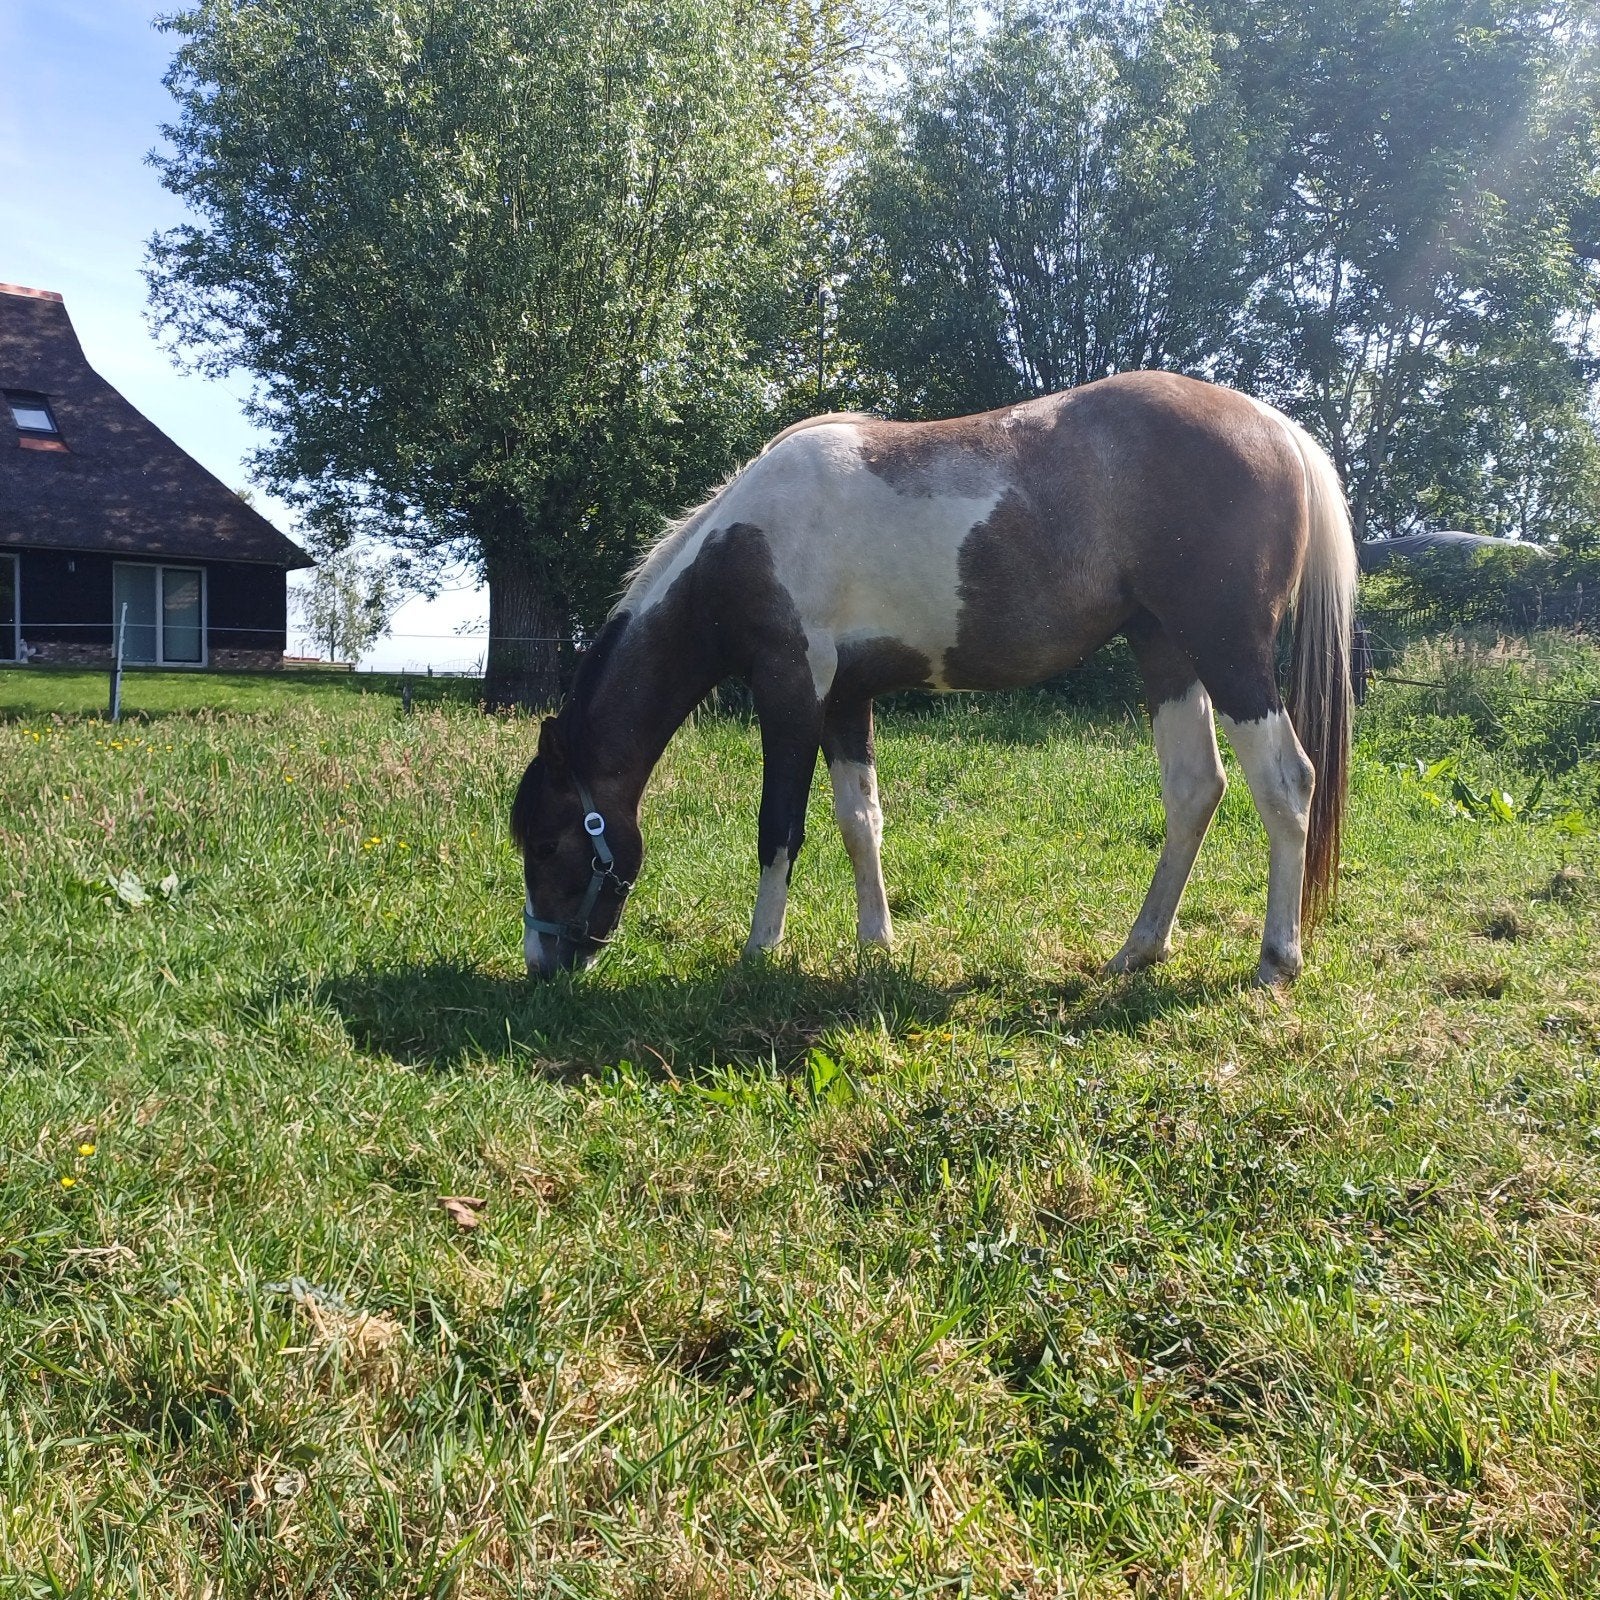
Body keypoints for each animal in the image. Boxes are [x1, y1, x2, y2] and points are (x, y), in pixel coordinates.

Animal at [512, 371, 1356, 986]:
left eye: (549, 844)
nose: (544, 964)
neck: (744, 545)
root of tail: (1273, 425)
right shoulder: (845, 703)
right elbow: (860, 821)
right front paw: (875, 941)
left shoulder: (789, 692)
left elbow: (779, 826)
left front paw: (760, 950)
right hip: (1167, 652)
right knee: (1193, 789)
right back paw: (1139, 948)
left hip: (1228, 652)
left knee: (1286, 783)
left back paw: (1276, 961)